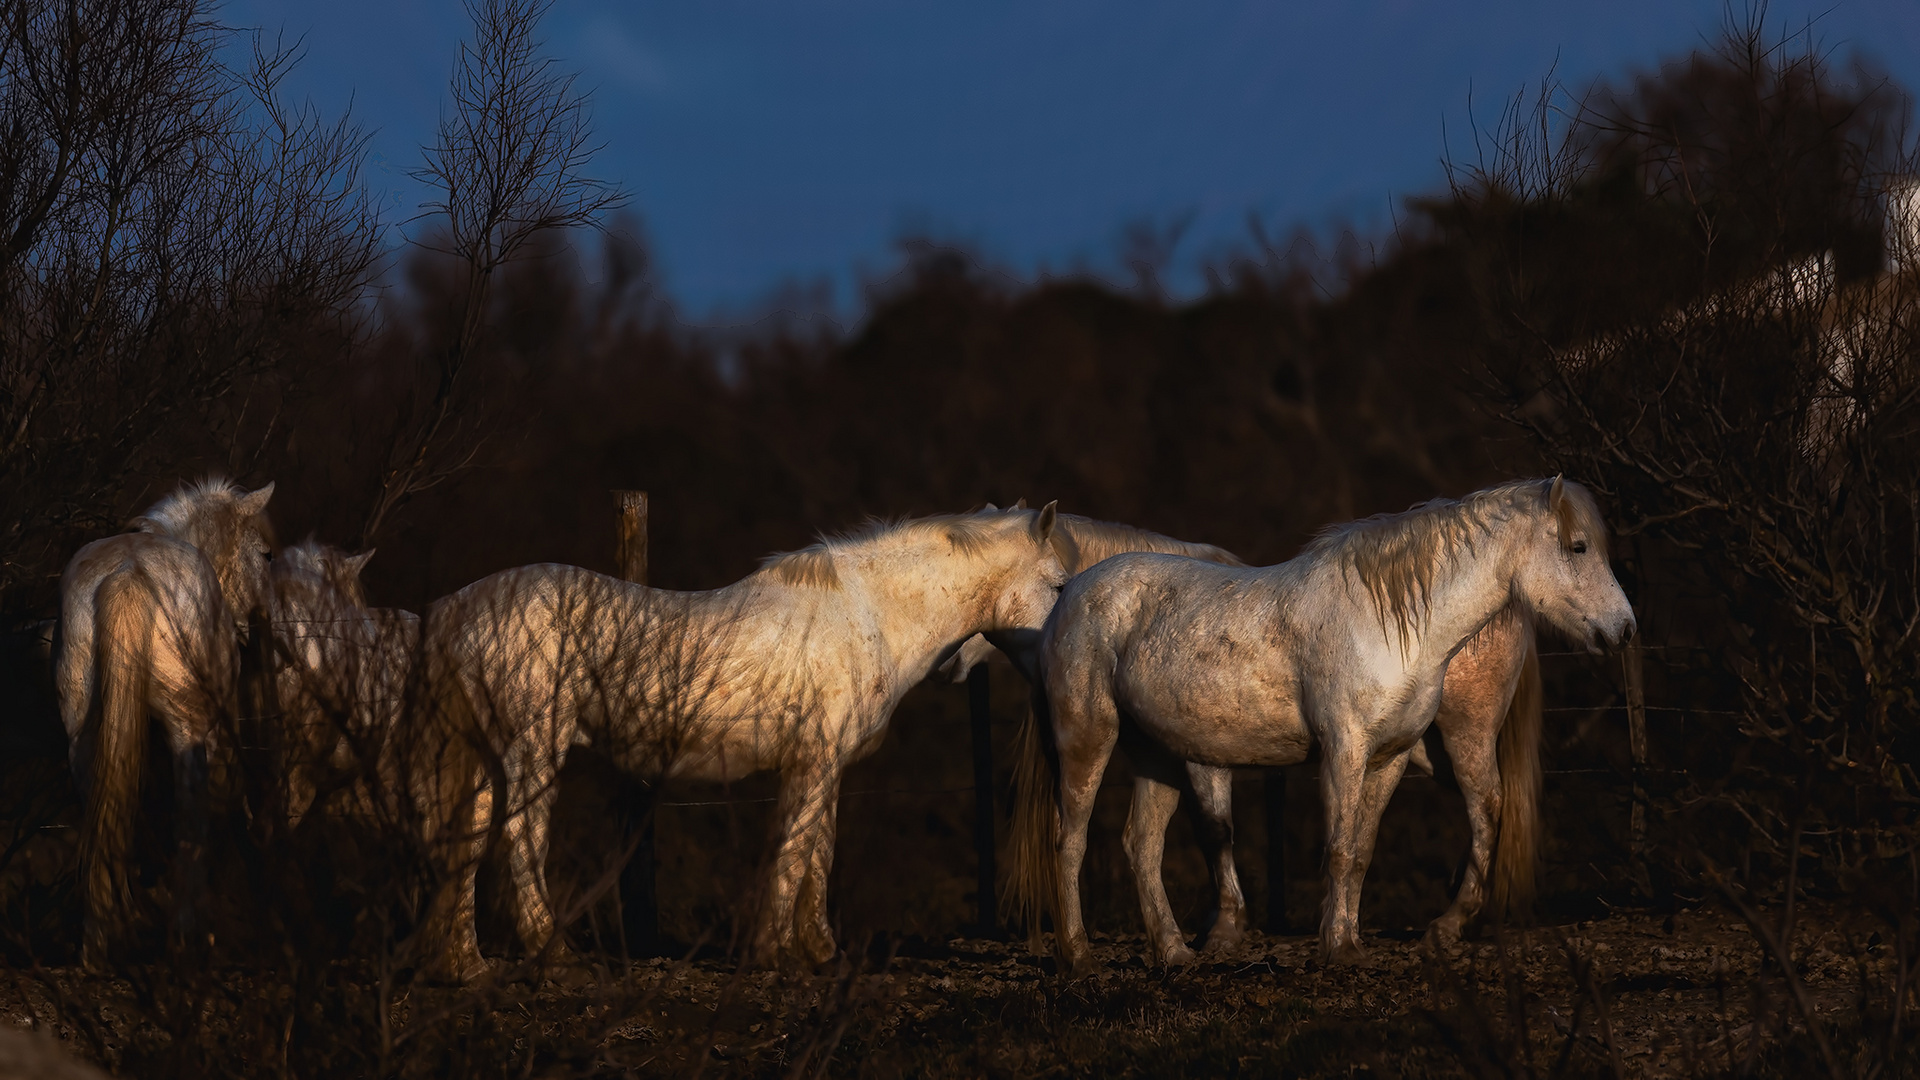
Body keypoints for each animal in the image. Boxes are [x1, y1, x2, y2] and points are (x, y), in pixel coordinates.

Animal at [54, 474, 278, 960]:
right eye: (266, 555)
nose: (257, 624)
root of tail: (128, 573)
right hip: (187, 729)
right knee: (188, 814)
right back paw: (186, 934)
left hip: (83, 735)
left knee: (103, 806)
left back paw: (102, 935)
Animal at [420, 499, 1075, 980]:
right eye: (1060, 585)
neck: (866, 614)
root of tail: (457, 609)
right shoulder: (813, 763)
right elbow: (793, 855)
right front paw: (774, 956)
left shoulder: (823, 767)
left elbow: (817, 853)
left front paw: (818, 951)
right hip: (535, 748)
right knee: (520, 838)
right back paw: (550, 951)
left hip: (484, 756)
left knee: (469, 839)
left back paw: (464, 966)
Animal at [1006, 476, 1635, 968]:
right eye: (1578, 547)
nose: (1624, 629)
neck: (1388, 621)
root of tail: (1070, 599)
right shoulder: (1343, 751)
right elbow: (1336, 848)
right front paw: (1335, 948)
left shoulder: (1389, 758)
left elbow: (1359, 852)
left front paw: (1349, 945)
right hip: (1088, 739)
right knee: (1070, 839)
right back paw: (1078, 955)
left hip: (1158, 754)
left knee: (1140, 844)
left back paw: (1174, 953)